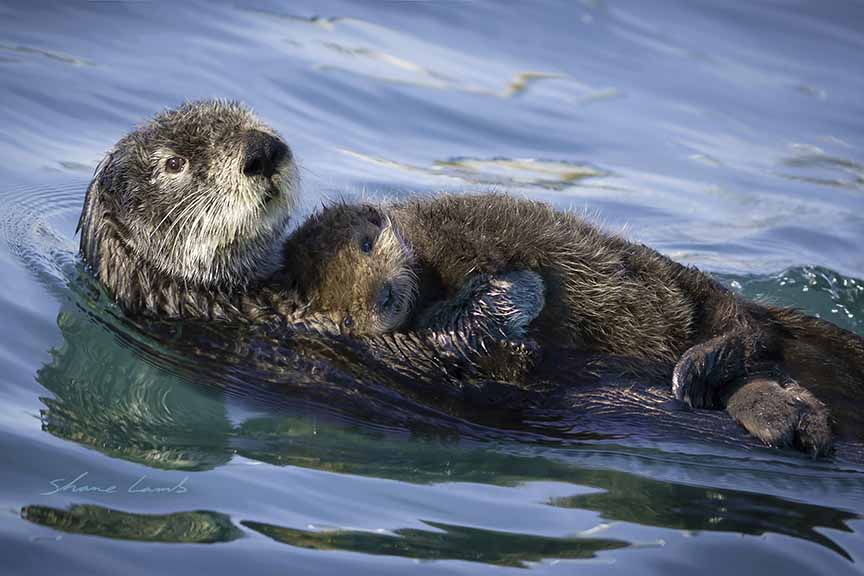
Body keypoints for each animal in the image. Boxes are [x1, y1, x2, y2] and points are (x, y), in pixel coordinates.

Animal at [279, 195, 864, 455]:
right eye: (347, 313)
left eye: (364, 245)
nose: (381, 298)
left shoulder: (457, 239)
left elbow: (505, 280)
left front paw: (508, 297)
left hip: (695, 293)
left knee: (740, 329)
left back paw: (702, 370)